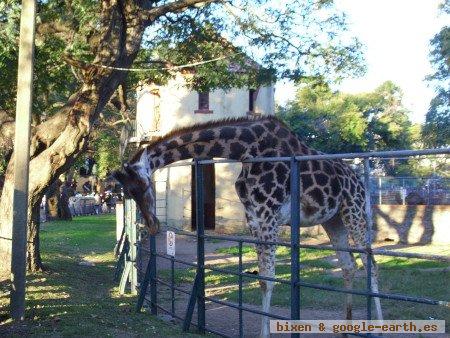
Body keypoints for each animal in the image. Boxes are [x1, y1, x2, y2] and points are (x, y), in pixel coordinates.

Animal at [113, 115, 384, 336]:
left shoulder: (269, 217)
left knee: (371, 263)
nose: (153, 226)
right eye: (128, 192)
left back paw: (378, 327)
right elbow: (263, 279)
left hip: (354, 211)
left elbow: (269, 279)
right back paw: (346, 328)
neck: (246, 150)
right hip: (333, 220)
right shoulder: (254, 219)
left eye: (143, 186)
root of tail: (360, 181)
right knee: (348, 266)